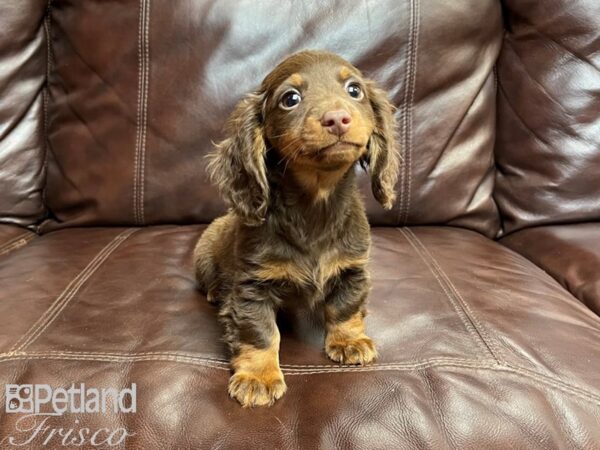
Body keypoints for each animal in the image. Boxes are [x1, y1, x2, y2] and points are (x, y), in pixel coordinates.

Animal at [196, 50, 398, 408]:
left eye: (354, 90)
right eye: (290, 99)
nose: (337, 119)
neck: (314, 209)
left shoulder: (352, 270)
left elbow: (345, 307)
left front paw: (349, 341)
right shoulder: (252, 287)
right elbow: (261, 332)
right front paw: (259, 377)